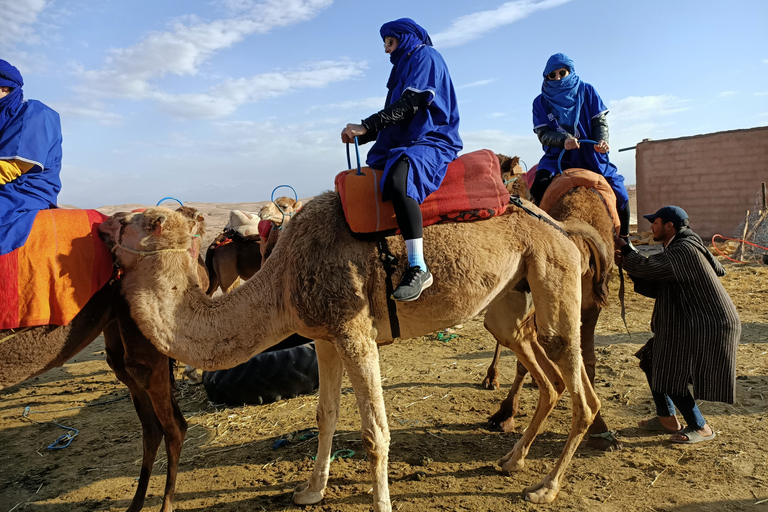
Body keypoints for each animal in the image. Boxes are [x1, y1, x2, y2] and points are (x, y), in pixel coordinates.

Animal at [0, 206, 208, 512]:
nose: (112, 221)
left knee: (172, 425)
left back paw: (165, 504)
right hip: (120, 340)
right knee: (152, 424)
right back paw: (135, 504)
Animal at [102, 191, 608, 508]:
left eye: (150, 221)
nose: (107, 223)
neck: (282, 280)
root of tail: (564, 228)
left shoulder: (355, 331)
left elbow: (373, 432)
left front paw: (380, 504)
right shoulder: (326, 338)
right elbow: (324, 415)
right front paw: (310, 492)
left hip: (553, 271)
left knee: (579, 386)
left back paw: (544, 488)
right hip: (509, 303)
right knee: (546, 373)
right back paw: (511, 460)